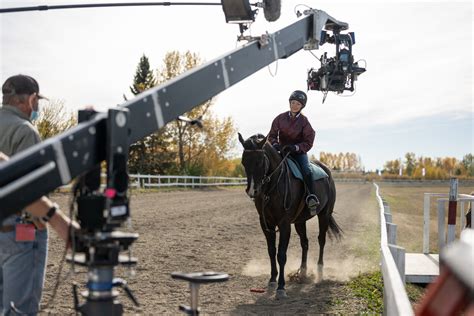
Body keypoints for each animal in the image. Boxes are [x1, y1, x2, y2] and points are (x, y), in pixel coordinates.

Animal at [239, 133, 342, 298]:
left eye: (260, 161)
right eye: (244, 161)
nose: (252, 191)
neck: (272, 186)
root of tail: (327, 172)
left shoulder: (284, 224)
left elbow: (281, 254)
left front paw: (281, 287)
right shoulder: (266, 223)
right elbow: (271, 251)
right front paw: (272, 280)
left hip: (324, 215)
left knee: (321, 240)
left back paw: (319, 272)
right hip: (300, 221)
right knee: (305, 243)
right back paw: (303, 273)